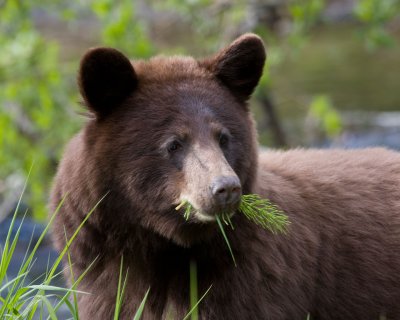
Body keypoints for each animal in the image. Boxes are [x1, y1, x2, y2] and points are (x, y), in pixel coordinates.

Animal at [50, 33, 400, 318]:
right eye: (174, 143)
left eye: (223, 137)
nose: (226, 188)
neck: (159, 247)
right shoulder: (100, 276)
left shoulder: (250, 278)